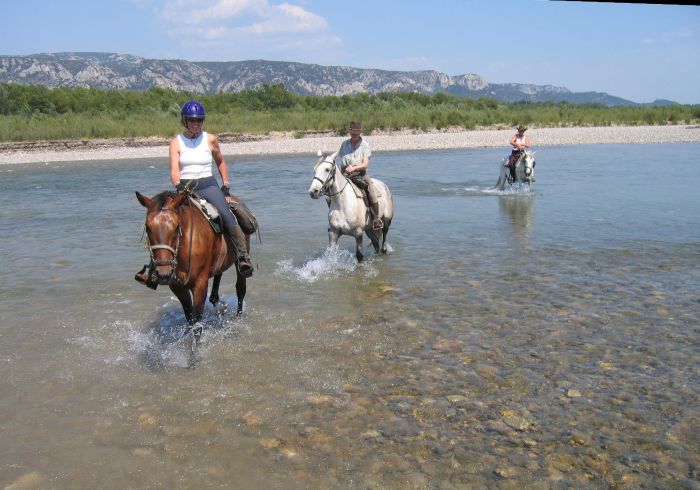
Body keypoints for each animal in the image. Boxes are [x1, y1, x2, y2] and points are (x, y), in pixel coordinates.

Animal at [135, 191, 250, 334]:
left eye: (176, 227)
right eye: (148, 228)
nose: (163, 271)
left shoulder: (200, 284)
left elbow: (196, 324)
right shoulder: (176, 286)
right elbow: (189, 317)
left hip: (240, 261)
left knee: (240, 289)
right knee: (217, 284)